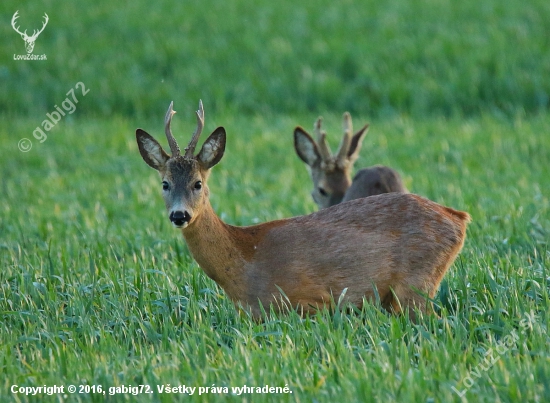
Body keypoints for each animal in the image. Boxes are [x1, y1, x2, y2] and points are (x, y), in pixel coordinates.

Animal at [136, 100, 472, 322]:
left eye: (198, 183)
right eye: (165, 183)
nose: (180, 215)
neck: (243, 260)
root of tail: (459, 218)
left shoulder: (306, 301)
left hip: (417, 283)